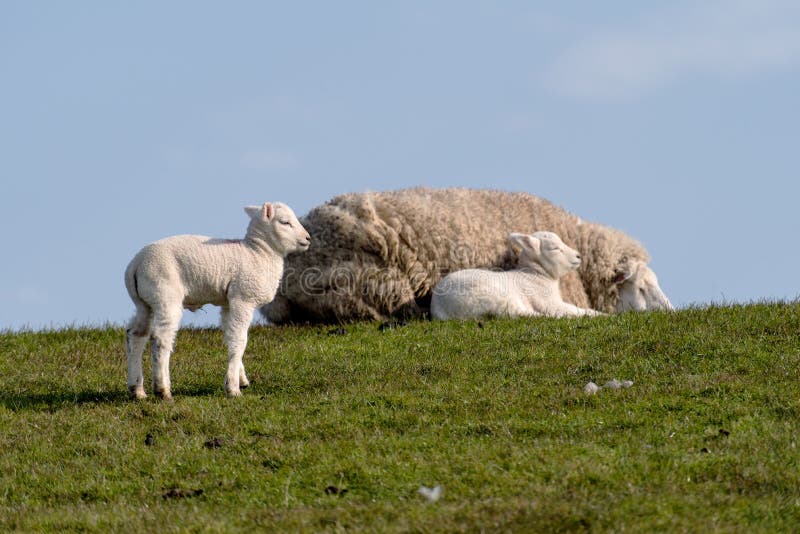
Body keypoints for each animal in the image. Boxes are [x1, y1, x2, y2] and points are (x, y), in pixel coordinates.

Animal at [124, 202, 310, 400]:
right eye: (285, 222)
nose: (308, 238)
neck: (259, 253)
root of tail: (135, 265)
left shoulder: (228, 302)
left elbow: (231, 338)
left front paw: (241, 379)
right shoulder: (243, 298)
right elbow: (240, 340)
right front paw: (233, 388)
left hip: (144, 302)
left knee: (136, 335)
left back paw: (137, 390)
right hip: (165, 293)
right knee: (160, 339)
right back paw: (163, 390)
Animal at [431, 231, 604, 320]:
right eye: (555, 248)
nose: (578, 256)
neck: (535, 274)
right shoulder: (547, 301)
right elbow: (573, 309)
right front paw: (600, 315)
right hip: (494, 297)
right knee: (523, 314)